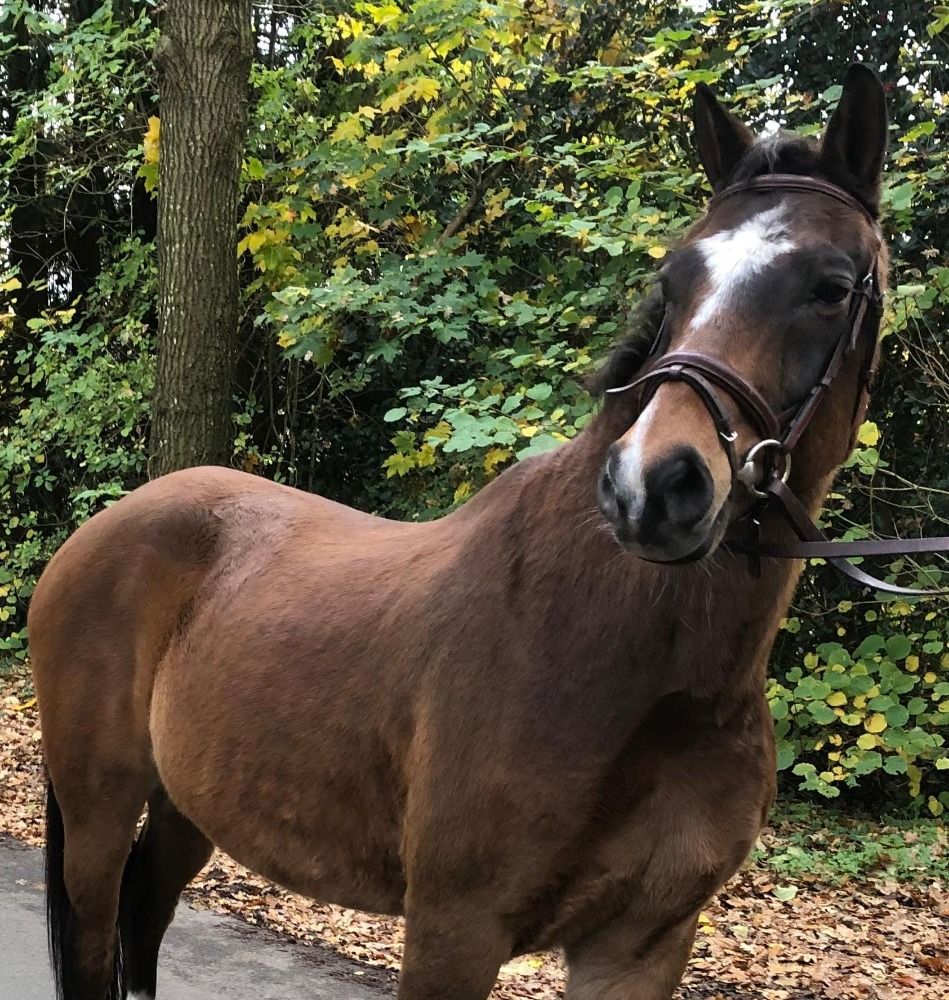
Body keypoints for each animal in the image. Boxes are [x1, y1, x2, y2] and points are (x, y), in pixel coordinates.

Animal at [29, 64, 889, 1000]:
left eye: (830, 287)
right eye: (673, 280)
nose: (652, 485)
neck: (640, 665)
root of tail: (102, 529)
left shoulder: (642, 944)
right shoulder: (454, 930)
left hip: (189, 803)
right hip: (98, 808)